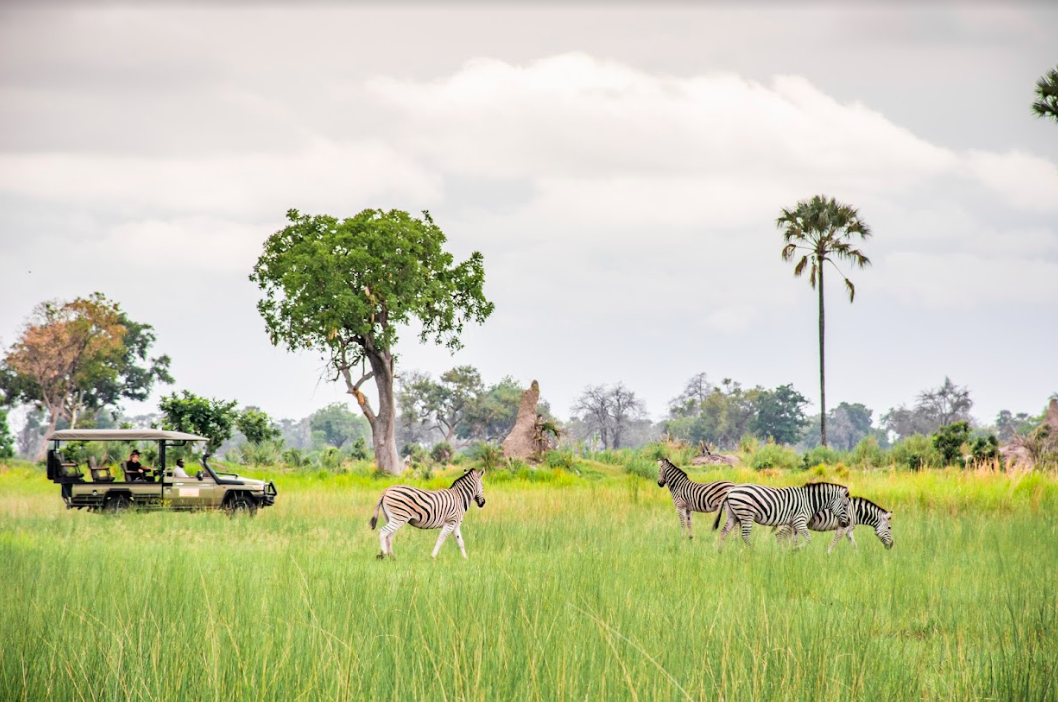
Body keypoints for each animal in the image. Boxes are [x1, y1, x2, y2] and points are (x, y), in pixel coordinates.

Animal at [713, 481, 851, 548]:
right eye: (845, 505)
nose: (848, 523)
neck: (809, 501)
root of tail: (731, 490)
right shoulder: (800, 520)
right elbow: (808, 539)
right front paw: (797, 549)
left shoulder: (793, 523)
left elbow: (794, 539)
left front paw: (792, 553)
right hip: (746, 514)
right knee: (745, 536)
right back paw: (754, 551)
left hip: (733, 515)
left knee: (723, 532)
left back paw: (720, 552)